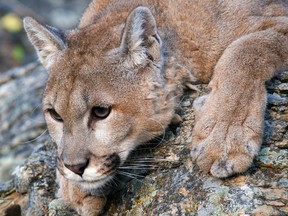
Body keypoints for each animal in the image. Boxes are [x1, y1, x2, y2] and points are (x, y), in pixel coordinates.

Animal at [23, 0, 288, 214]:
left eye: (101, 112)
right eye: (55, 115)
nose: (75, 167)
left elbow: (246, 50)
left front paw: (224, 140)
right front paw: (72, 188)